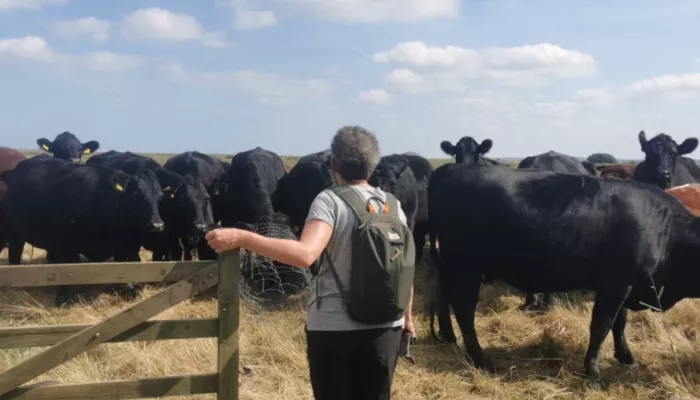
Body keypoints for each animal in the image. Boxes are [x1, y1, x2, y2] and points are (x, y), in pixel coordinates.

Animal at [2, 155, 163, 304]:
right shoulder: (67, 246)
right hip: (16, 234)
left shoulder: (123, 248)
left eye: (160, 197)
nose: (157, 225)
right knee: (15, 256)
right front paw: (62, 300)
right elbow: (68, 273)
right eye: (137, 195)